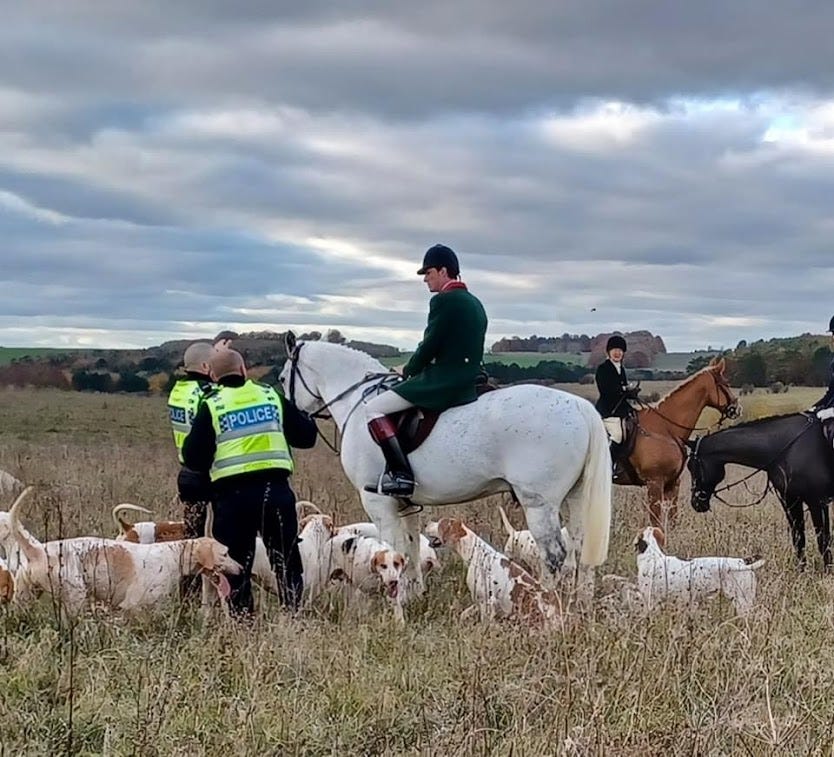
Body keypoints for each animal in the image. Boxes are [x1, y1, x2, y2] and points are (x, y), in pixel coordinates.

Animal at [280, 338, 612, 604]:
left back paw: (546, 599)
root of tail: (580, 406)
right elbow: (410, 550)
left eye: (283, 378)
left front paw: (397, 599)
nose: (293, 422)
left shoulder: (377, 501)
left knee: (555, 558)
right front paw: (414, 595)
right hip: (576, 499)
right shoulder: (406, 505)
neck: (359, 403)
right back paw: (580, 605)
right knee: (579, 553)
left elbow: (392, 549)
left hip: (539, 504)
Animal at [616, 358, 736, 524]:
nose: (737, 407)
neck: (665, 428)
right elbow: (656, 522)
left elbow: (672, 522)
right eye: (726, 383)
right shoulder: (654, 483)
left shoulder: (672, 485)